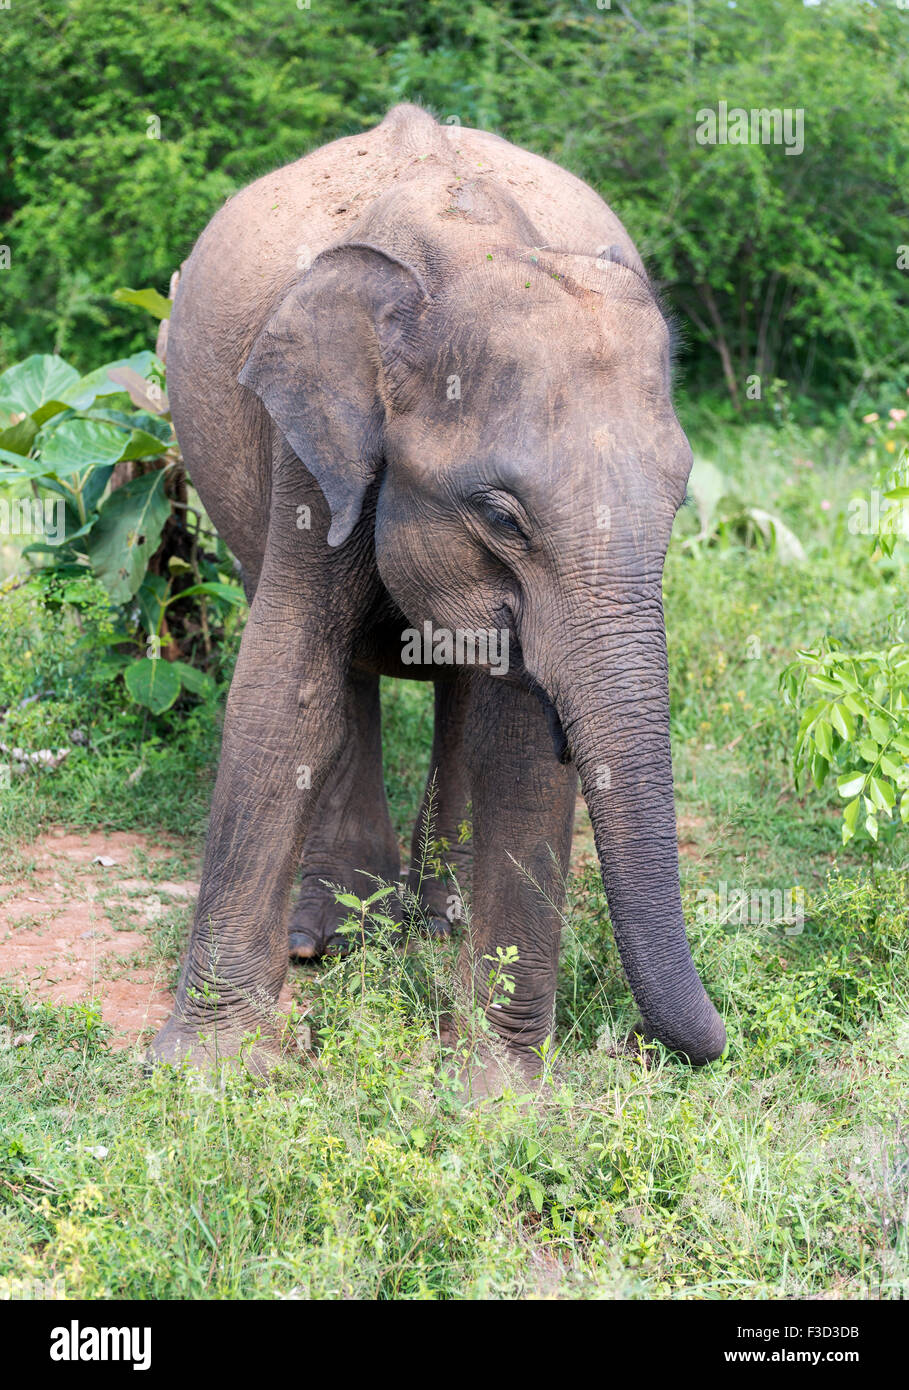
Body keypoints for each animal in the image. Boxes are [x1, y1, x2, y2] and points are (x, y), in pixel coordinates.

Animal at [148, 102, 728, 1089]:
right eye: (499, 515)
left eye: (678, 504)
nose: (703, 1040)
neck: (467, 243)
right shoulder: (307, 450)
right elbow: (283, 691)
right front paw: (201, 1074)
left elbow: (519, 744)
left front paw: (496, 1092)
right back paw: (330, 935)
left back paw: (433, 922)